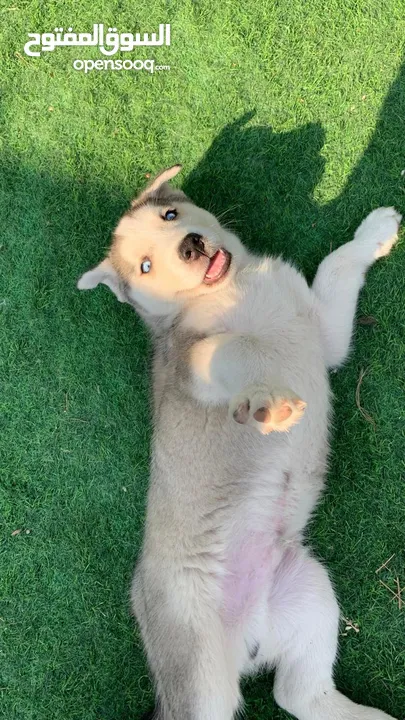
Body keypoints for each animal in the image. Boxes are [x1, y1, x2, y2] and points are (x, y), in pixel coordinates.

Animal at [77, 166, 400, 716]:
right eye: (145, 266)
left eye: (171, 214)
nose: (189, 246)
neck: (234, 286)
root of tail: (248, 639)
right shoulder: (193, 366)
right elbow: (231, 348)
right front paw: (264, 402)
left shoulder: (327, 336)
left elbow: (336, 264)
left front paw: (375, 232)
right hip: (198, 664)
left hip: (308, 592)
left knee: (299, 693)